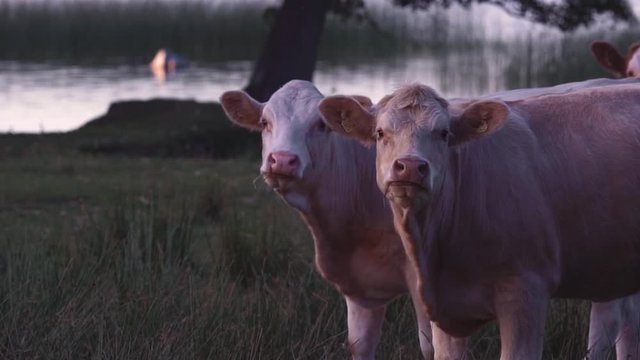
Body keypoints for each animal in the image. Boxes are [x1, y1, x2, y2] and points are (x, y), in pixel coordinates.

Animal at [218, 81, 468, 360]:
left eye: (321, 124)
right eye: (264, 122)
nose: (282, 160)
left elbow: (431, 345)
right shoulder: (359, 282)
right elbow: (360, 343)